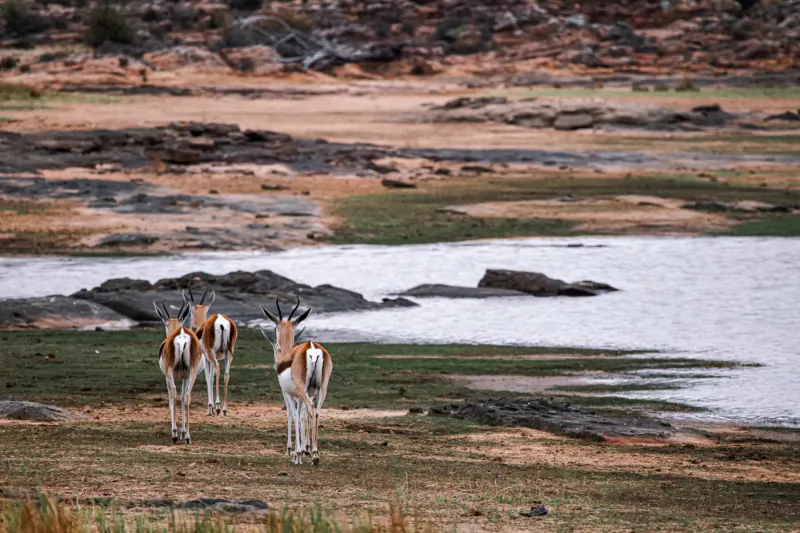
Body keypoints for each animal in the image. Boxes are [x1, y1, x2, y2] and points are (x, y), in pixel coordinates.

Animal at [153, 301, 203, 444]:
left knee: (174, 393)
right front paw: (183, 432)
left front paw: (176, 432)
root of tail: (181, 335)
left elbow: (171, 397)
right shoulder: (186, 377)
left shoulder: (167, 377)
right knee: (187, 396)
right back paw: (188, 437)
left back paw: (174, 435)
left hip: (170, 373)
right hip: (192, 373)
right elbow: (182, 398)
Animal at [182, 286, 238, 416]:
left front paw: (210, 407)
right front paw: (211, 407)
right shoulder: (213, 357)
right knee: (226, 373)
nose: (191, 326)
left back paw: (218, 407)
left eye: (190, 312)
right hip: (229, 354)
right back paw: (225, 409)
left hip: (210, 353)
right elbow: (211, 377)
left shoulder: (207, 357)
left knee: (217, 367)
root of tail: (221, 322)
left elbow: (208, 377)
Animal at [261, 297, 332, 466]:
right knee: (316, 411)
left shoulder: (288, 393)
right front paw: (301, 451)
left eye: (275, 328)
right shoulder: (300, 395)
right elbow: (300, 415)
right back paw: (315, 453)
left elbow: (292, 414)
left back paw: (312, 455)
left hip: (302, 390)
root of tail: (312, 347)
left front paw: (295, 453)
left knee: (309, 410)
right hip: (321, 389)